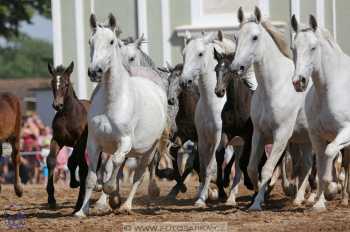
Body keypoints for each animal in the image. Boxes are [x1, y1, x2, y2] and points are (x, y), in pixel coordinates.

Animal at [46, 62, 90, 212]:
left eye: (65, 84)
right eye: (52, 83)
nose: (57, 105)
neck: (68, 116)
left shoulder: (79, 142)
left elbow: (72, 161)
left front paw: (74, 183)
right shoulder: (57, 140)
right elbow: (51, 160)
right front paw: (51, 199)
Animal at [74, 13, 167, 218]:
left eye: (111, 41)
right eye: (90, 41)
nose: (95, 71)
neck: (112, 102)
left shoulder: (124, 141)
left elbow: (115, 169)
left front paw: (112, 194)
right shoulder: (94, 143)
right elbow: (91, 177)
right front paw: (82, 211)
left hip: (148, 150)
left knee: (139, 175)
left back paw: (126, 205)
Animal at [180, 31, 227, 207]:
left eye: (200, 54)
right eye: (184, 54)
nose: (184, 81)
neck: (212, 103)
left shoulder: (218, 139)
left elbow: (209, 166)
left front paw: (204, 198)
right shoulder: (202, 138)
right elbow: (201, 165)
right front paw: (202, 194)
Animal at [230, 7, 314, 210]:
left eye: (254, 37)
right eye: (236, 36)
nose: (236, 68)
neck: (274, 87)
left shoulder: (281, 136)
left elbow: (267, 169)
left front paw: (257, 202)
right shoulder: (259, 134)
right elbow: (252, 168)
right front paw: (258, 195)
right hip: (306, 139)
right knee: (307, 165)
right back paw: (299, 199)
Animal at [290, 14, 350, 209]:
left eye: (313, 48)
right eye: (293, 48)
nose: (298, 82)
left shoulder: (346, 132)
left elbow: (330, 154)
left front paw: (330, 188)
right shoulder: (316, 136)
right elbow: (321, 163)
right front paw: (319, 202)